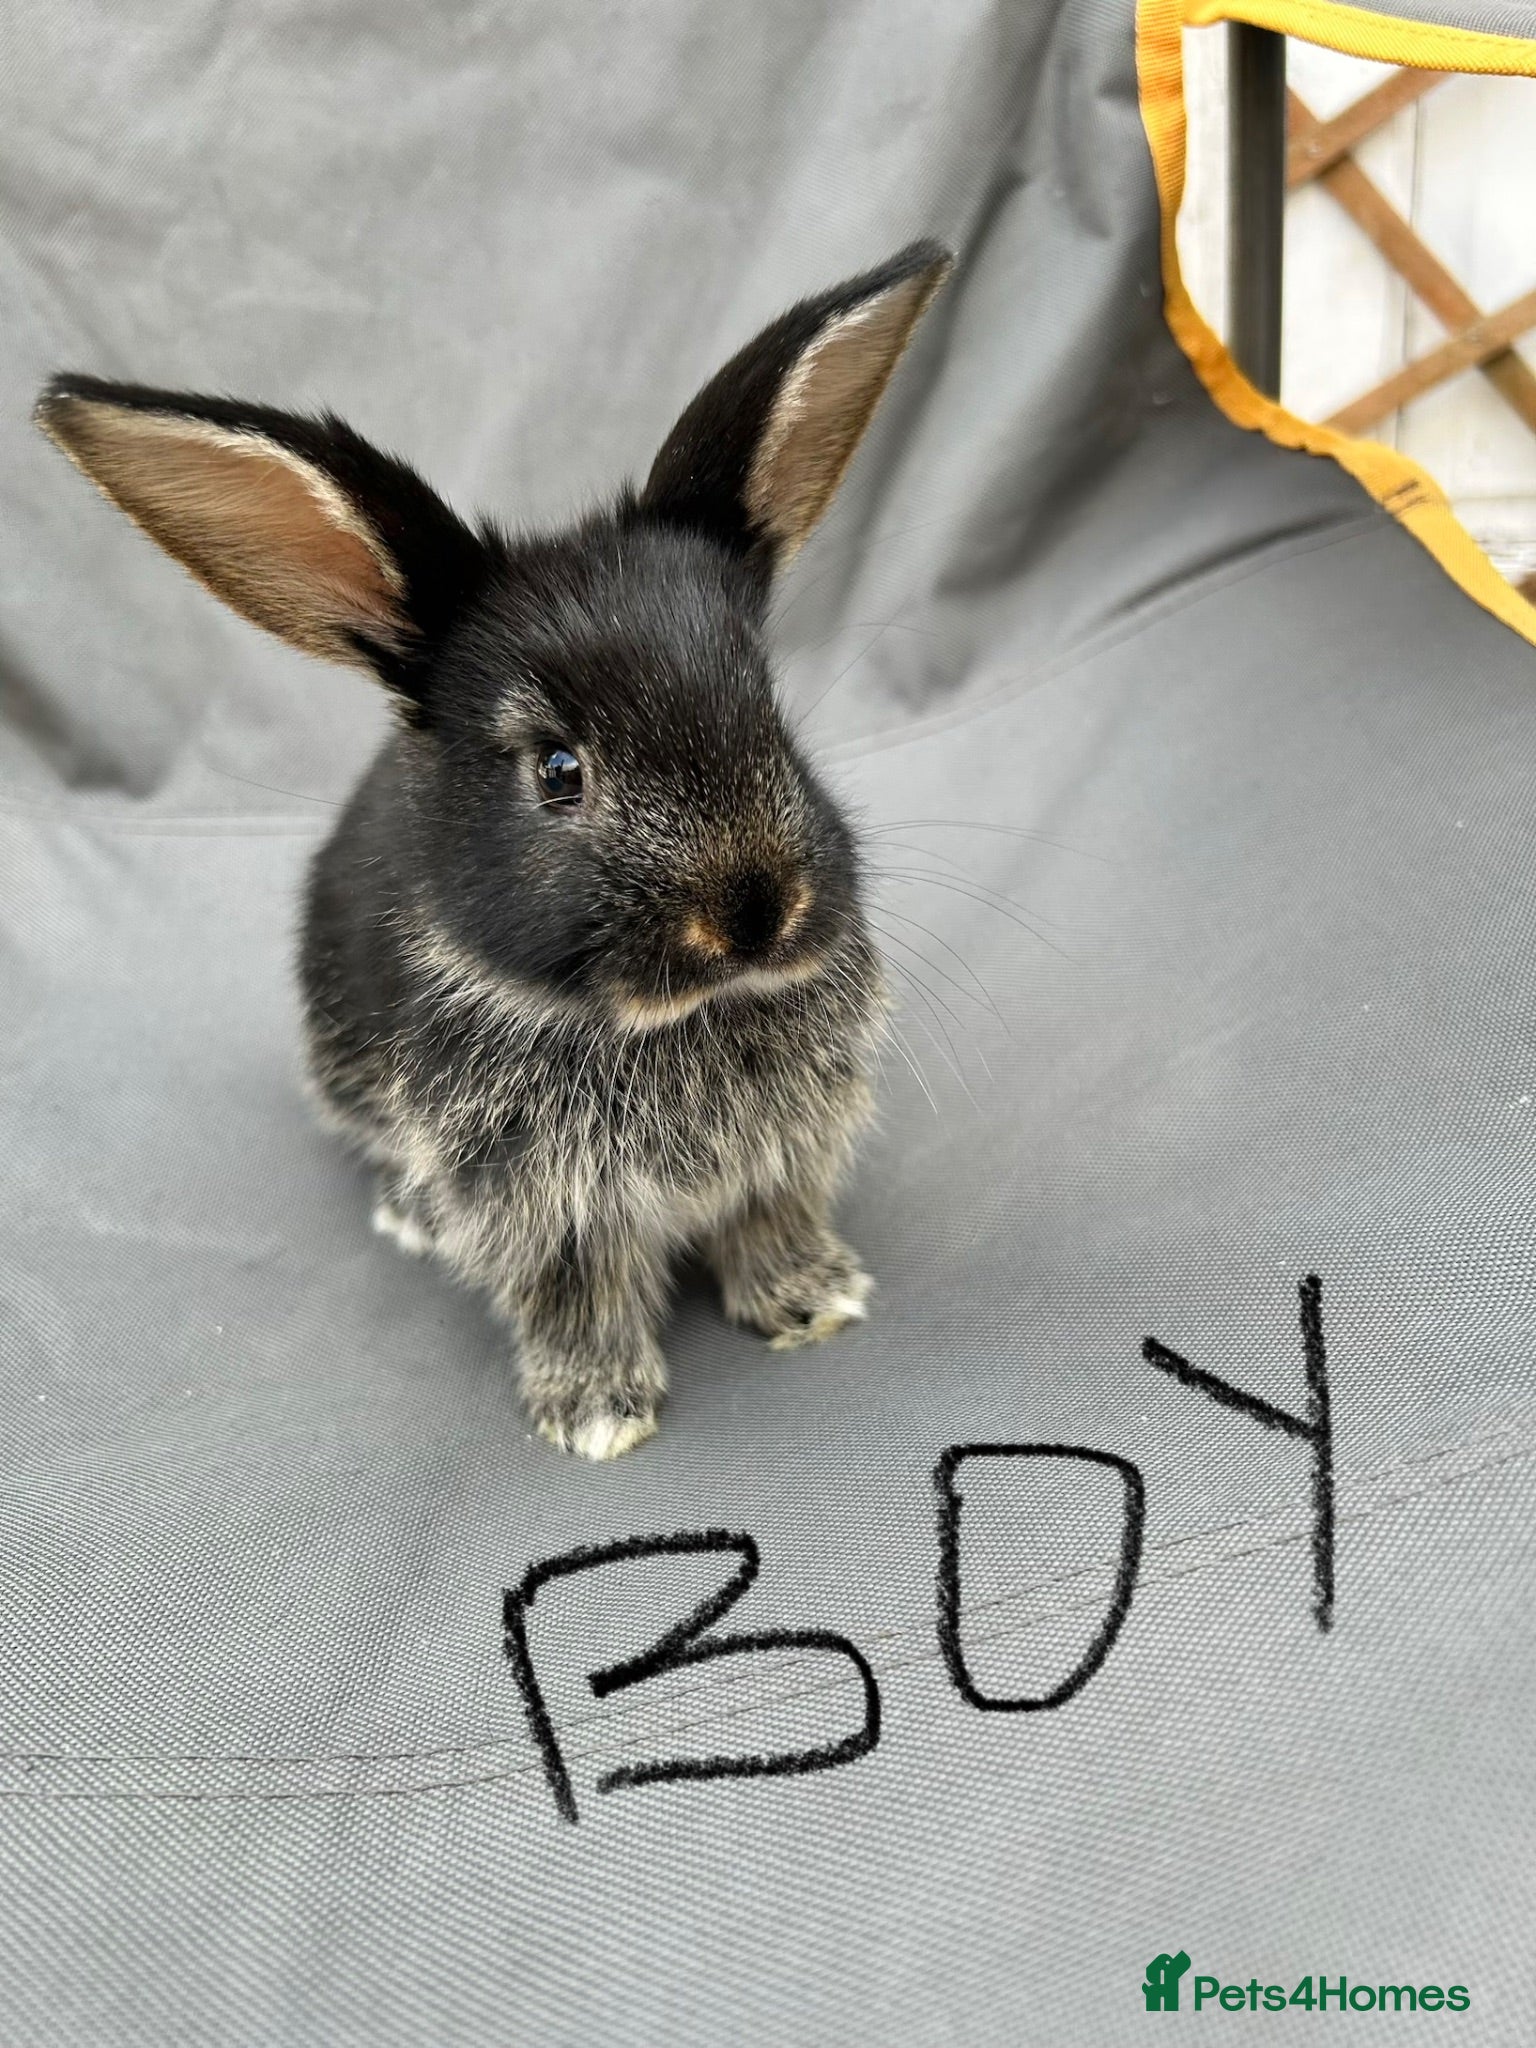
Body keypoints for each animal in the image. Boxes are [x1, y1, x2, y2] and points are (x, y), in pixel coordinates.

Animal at [35, 240, 951, 1458]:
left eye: (769, 715)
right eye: (557, 770)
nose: (756, 912)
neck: (673, 1022)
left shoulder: (782, 1159)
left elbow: (770, 1224)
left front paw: (815, 1302)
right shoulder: (541, 1205)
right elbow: (577, 1291)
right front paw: (598, 1410)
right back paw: (411, 1219)